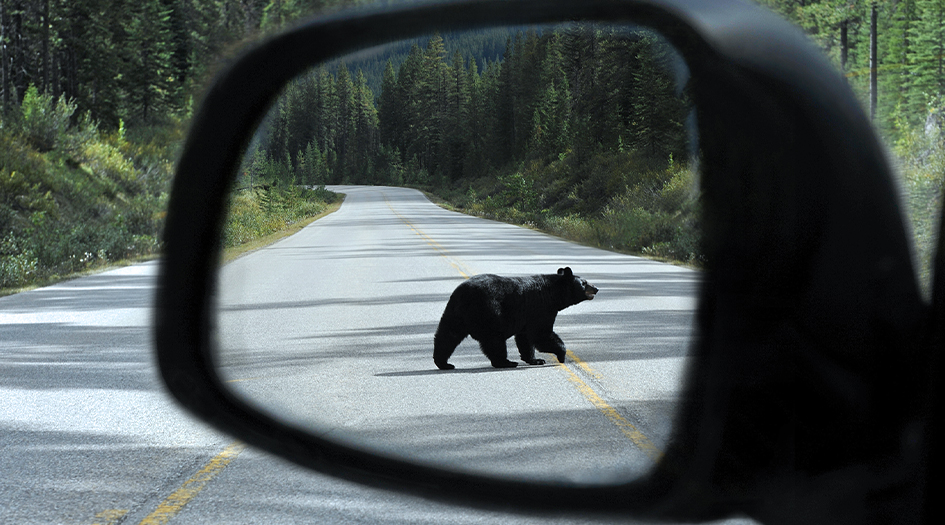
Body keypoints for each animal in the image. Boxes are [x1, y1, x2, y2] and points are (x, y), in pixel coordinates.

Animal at [433, 267, 598, 370]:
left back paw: (443, 363)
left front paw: (535, 359)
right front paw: (561, 355)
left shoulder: (527, 317)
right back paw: (506, 362)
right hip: (490, 313)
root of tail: (464, 294)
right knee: (495, 340)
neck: (553, 294)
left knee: (447, 336)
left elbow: (525, 338)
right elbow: (541, 334)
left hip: (454, 313)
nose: (596, 288)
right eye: (584, 283)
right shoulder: (541, 309)